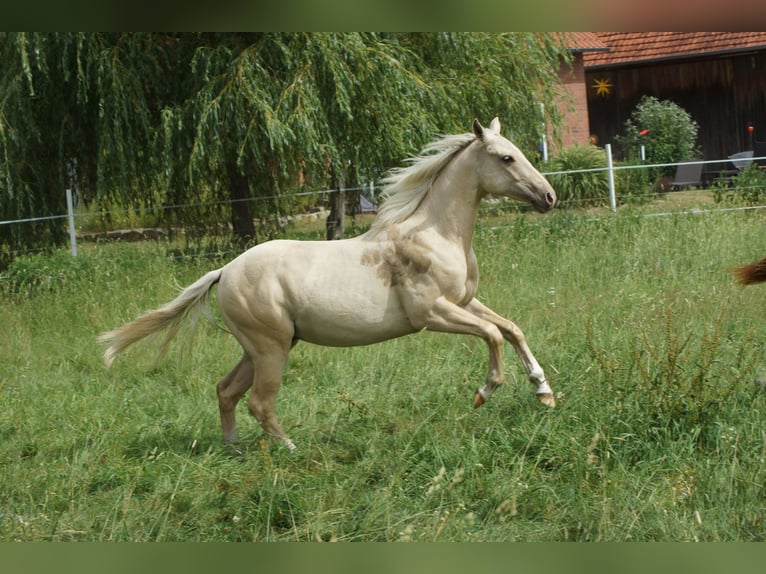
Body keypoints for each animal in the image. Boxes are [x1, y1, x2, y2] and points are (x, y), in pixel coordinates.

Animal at [99, 118, 558, 450]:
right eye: (506, 158)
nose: (549, 197)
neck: (435, 234)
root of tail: (225, 272)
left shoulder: (464, 301)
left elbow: (511, 328)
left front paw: (544, 392)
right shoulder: (432, 313)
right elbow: (493, 335)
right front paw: (483, 393)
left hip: (261, 347)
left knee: (226, 391)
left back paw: (233, 449)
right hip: (271, 349)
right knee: (259, 402)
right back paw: (290, 449)